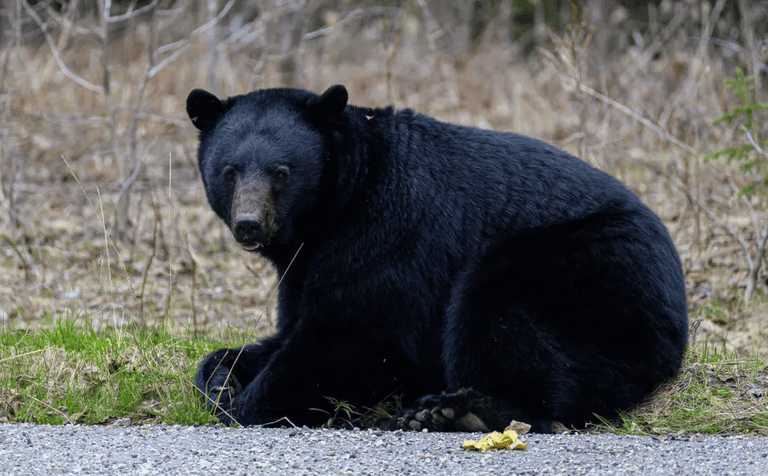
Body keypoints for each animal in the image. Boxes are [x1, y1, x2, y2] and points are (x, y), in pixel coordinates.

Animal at [188, 83, 688, 434]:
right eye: (229, 171)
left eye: (281, 172)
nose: (250, 224)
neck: (342, 202)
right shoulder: (304, 262)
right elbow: (293, 327)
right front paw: (222, 378)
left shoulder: (390, 229)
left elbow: (359, 334)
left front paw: (243, 406)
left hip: (585, 272)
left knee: (503, 317)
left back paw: (456, 411)